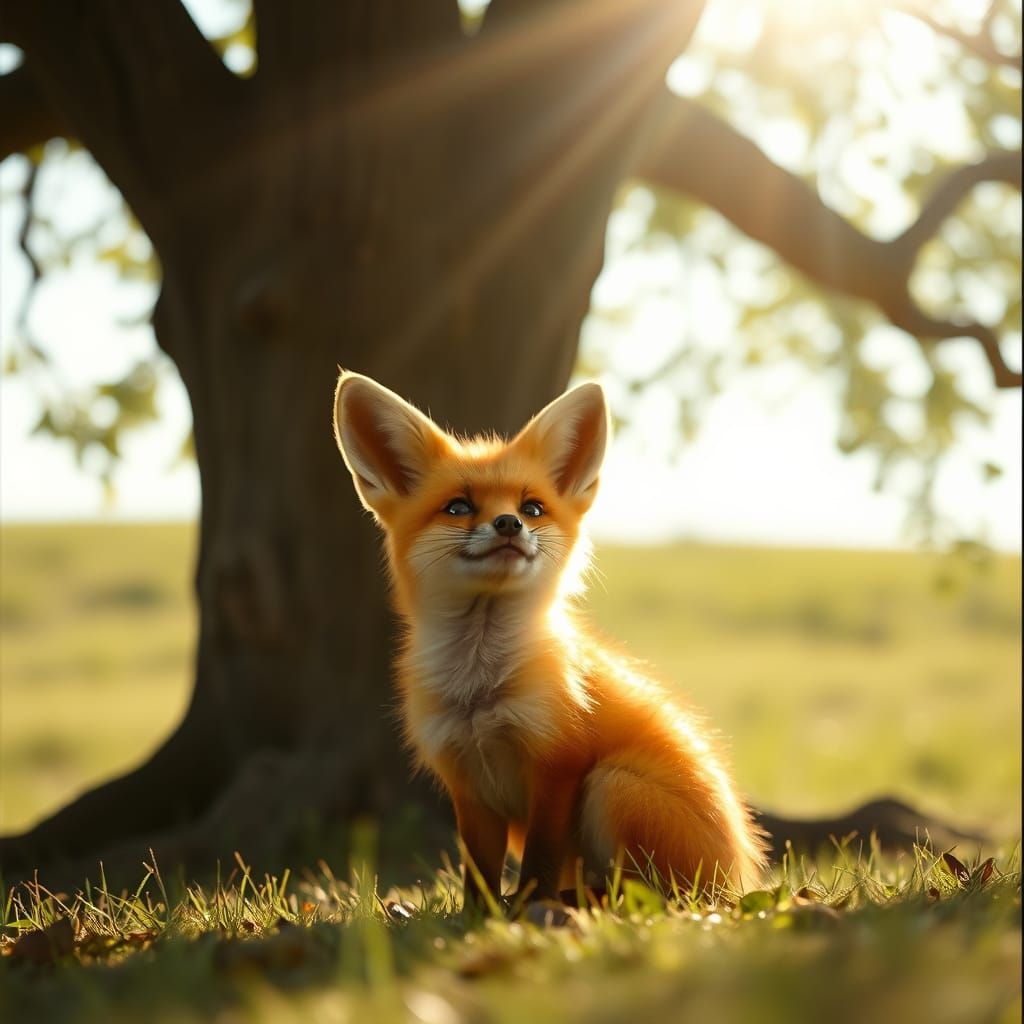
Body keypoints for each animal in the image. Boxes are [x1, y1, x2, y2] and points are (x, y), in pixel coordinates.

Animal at [332, 371, 767, 907]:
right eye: (458, 507)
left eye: (532, 507)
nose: (509, 524)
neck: (480, 694)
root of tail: (740, 876)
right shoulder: (466, 784)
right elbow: (479, 871)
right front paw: (479, 917)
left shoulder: (558, 764)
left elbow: (538, 859)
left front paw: (526, 908)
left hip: (613, 785)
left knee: (651, 895)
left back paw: (578, 903)